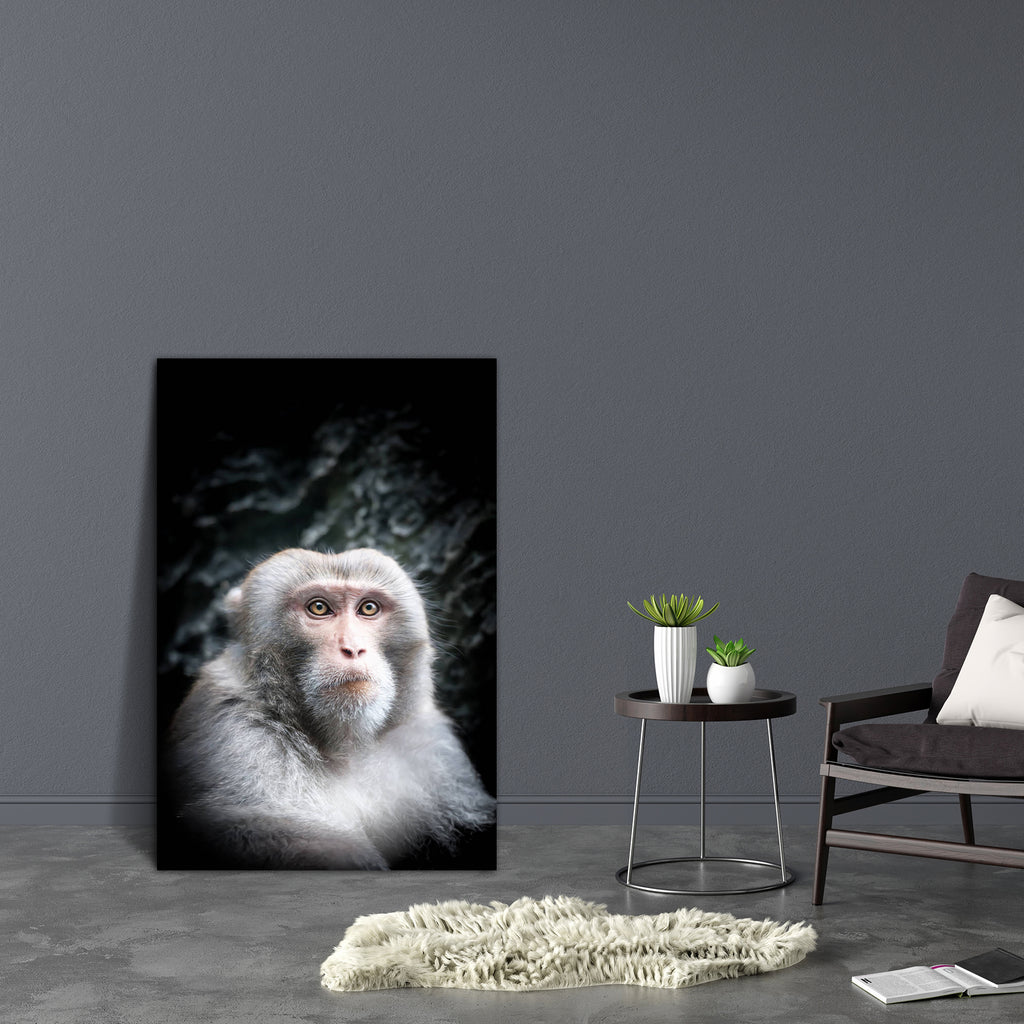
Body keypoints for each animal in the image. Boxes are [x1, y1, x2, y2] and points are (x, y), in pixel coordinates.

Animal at [165, 547, 495, 869]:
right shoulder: (231, 729)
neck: (344, 748)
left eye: (368, 608)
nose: (353, 648)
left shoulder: (428, 742)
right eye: (319, 608)